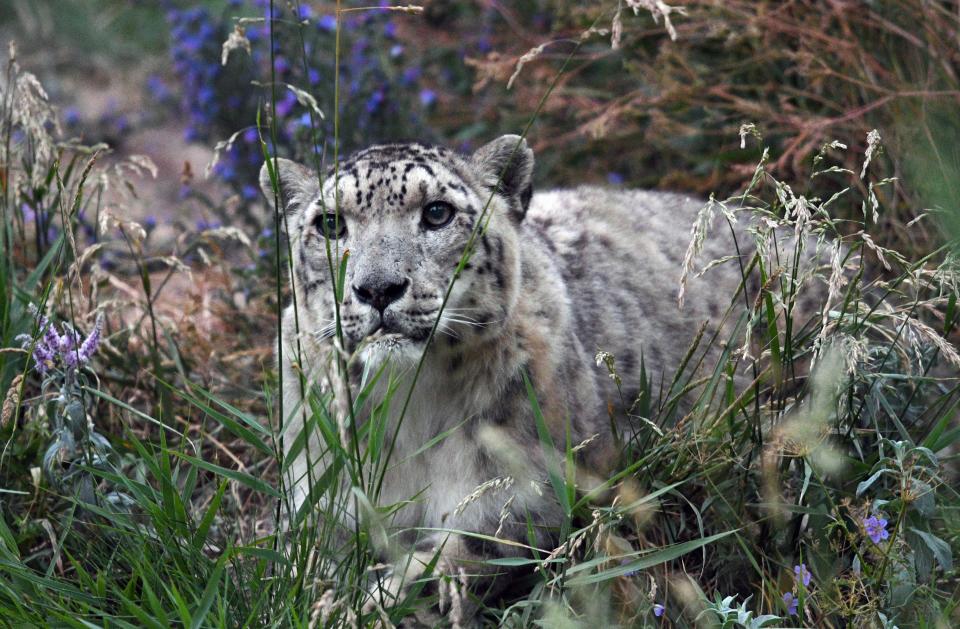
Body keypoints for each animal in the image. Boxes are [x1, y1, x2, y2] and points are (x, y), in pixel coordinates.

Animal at [260, 135, 788, 620]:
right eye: (330, 223)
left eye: (437, 213)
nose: (376, 288)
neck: (411, 409)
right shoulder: (319, 499)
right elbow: (298, 564)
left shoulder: (528, 501)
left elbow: (442, 565)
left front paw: (362, 606)